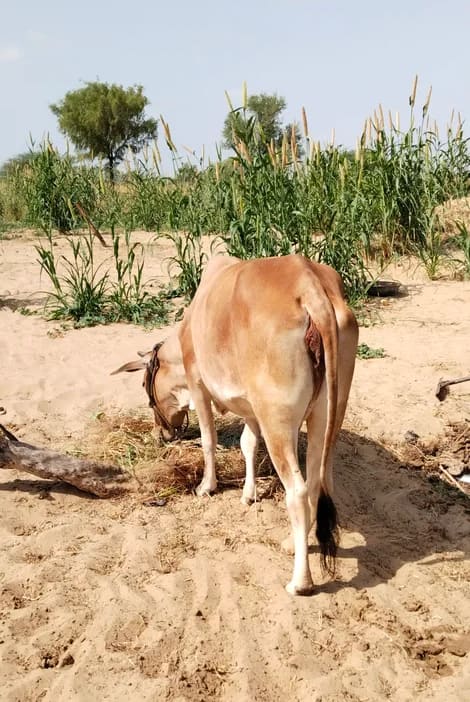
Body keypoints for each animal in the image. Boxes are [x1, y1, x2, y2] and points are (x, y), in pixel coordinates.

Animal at [113, 254, 358, 595]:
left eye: (144, 387)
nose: (160, 433)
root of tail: (309, 284)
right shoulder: (251, 408)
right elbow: (248, 445)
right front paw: (248, 493)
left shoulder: (198, 383)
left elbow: (209, 440)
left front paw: (207, 486)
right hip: (327, 415)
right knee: (318, 482)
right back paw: (291, 542)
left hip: (277, 420)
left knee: (296, 491)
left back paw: (300, 581)